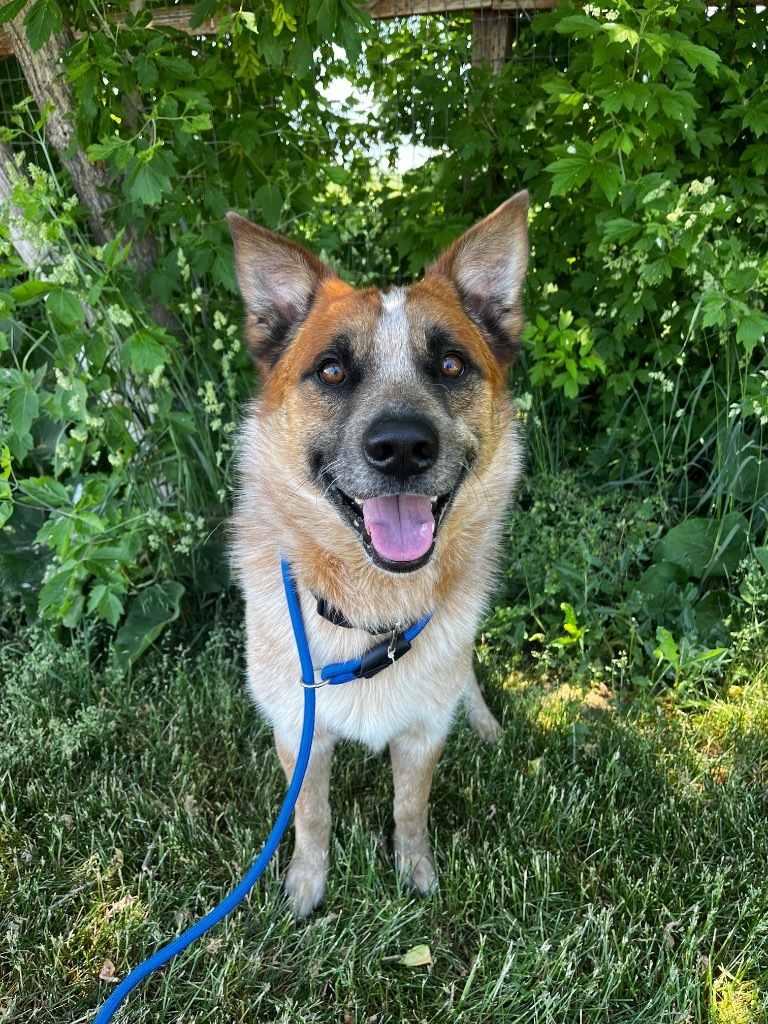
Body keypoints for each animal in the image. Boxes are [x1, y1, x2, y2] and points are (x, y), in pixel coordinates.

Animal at [227, 193, 528, 921]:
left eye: (450, 364)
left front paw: (415, 872)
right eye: (332, 370)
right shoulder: (299, 730)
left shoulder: (421, 734)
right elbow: (311, 817)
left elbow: (410, 809)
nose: (402, 448)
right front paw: (306, 885)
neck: (371, 610)